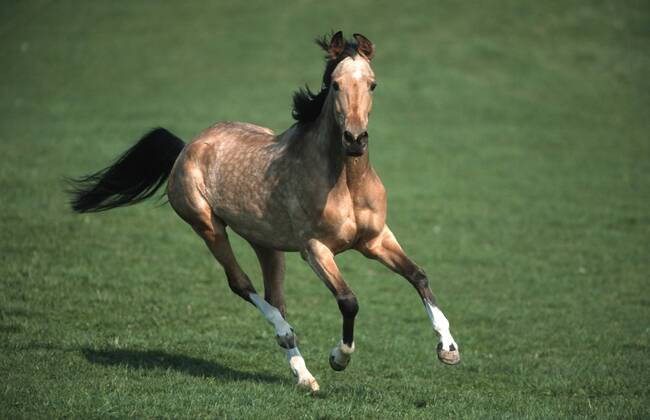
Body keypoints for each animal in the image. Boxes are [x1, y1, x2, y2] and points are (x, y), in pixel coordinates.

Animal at [69, 31, 460, 393]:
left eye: (373, 83)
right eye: (334, 84)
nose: (354, 139)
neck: (345, 181)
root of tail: (187, 147)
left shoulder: (377, 239)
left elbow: (418, 276)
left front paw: (449, 349)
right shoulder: (315, 249)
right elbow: (349, 300)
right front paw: (338, 357)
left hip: (266, 244)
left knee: (275, 297)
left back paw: (303, 376)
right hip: (208, 226)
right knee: (241, 284)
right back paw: (287, 336)